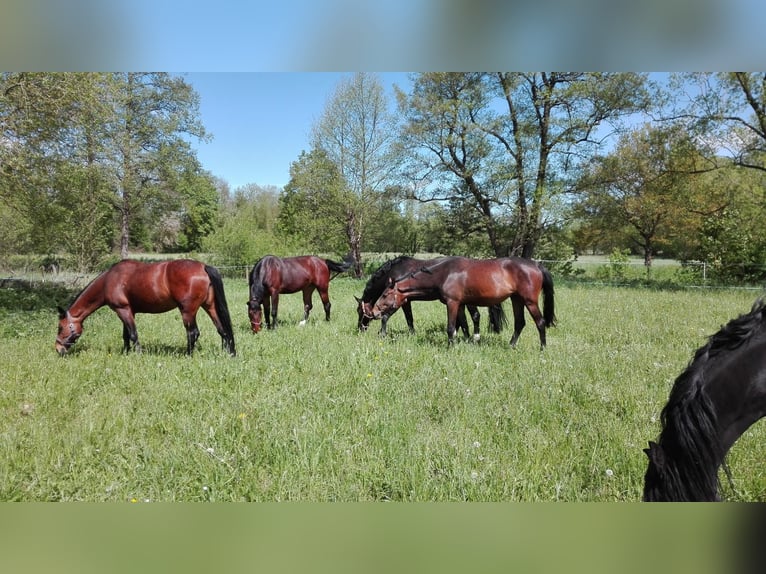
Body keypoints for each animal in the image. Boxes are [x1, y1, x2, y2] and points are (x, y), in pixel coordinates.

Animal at [55, 259, 236, 356]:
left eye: (60, 327)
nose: (58, 349)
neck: (109, 280)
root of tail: (202, 267)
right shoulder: (127, 311)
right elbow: (125, 335)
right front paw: (126, 352)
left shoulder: (123, 310)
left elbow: (133, 334)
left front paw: (137, 354)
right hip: (210, 306)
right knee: (222, 330)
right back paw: (228, 353)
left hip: (188, 311)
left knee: (193, 333)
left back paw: (188, 355)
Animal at [355, 255, 507, 339]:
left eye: (360, 311)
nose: (359, 329)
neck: (396, 270)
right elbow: (408, 319)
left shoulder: (403, 301)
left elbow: (403, 318)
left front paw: (383, 333)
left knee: (475, 316)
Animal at [371, 256, 555, 348]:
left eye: (385, 294)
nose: (374, 311)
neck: (444, 273)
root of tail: (536, 265)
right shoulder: (459, 304)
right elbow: (463, 325)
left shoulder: (452, 303)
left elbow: (451, 327)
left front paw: (450, 347)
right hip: (517, 299)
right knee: (520, 323)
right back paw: (511, 346)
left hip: (529, 301)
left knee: (540, 322)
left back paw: (543, 348)